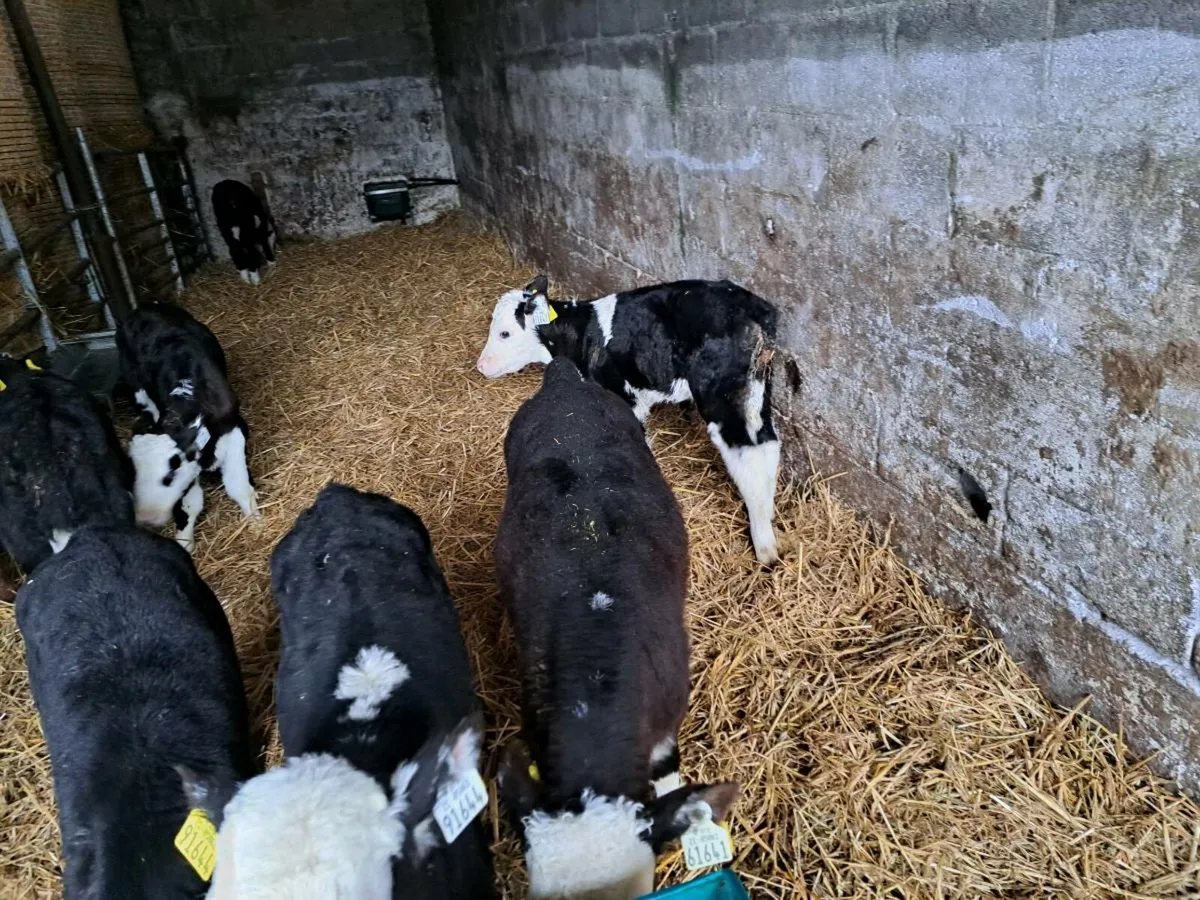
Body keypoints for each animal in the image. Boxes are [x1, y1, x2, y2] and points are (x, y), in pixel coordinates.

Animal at [117, 302, 259, 547]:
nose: (146, 518)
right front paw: (184, 541)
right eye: (133, 473)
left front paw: (256, 519)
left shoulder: (234, 431)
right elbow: (190, 504)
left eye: (169, 475)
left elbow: (237, 484)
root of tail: (143, 308)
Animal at [476, 275, 782, 565]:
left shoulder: (625, 399)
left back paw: (764, 545)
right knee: (766, 444)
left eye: (504, 333)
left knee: (746, 451)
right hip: (755, 388)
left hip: (722, 392)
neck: (583, 336)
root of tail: (752, 305)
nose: (481, 366)